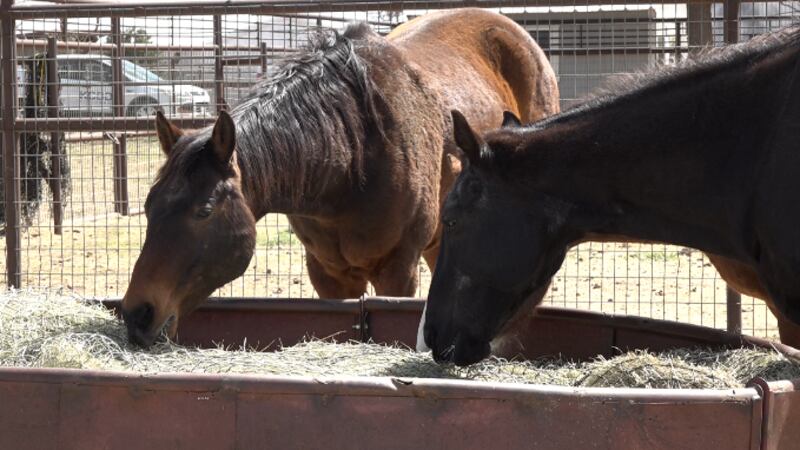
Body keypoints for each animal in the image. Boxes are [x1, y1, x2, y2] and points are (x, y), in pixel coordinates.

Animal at [121, 8, 560, 347]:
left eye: (204, 210)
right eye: (148, 207)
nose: (136, 314)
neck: (353, 162)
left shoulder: (397, 270)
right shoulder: (327, 274)